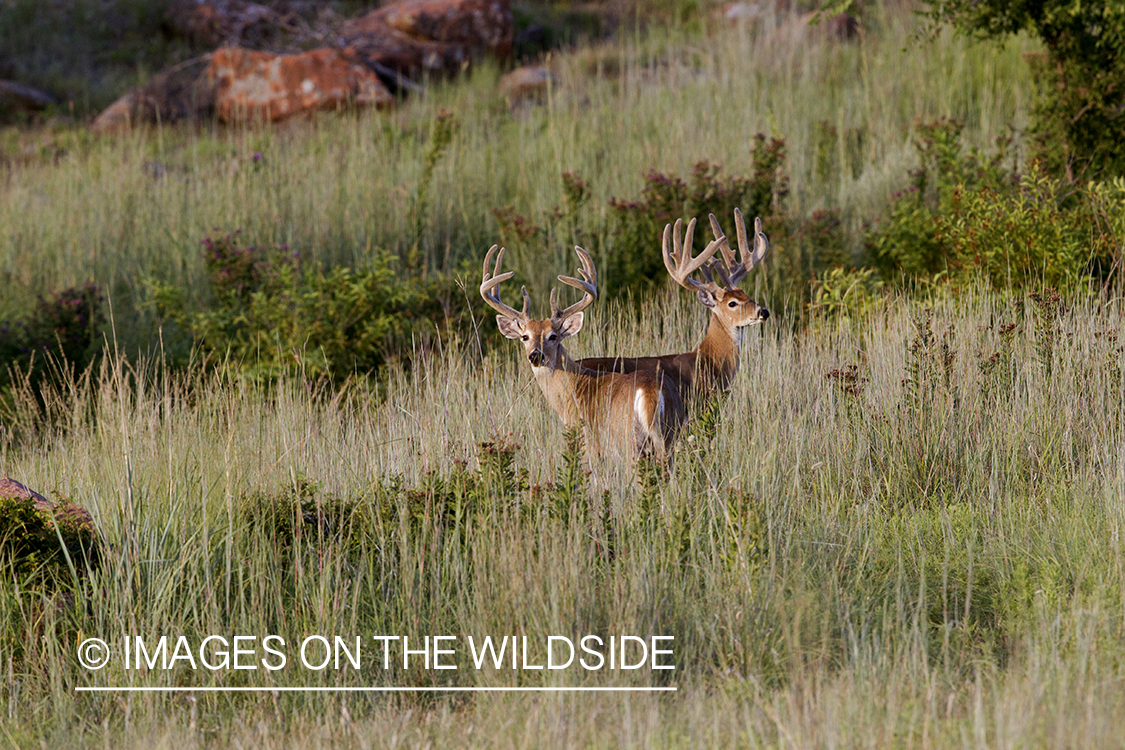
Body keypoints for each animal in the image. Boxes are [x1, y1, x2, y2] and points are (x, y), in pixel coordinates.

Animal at [481, 244, 684, 463]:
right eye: (525, 337)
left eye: (553, 336)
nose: (535, 355)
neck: (573, 388)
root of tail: (649, 390)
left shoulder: (589, 443)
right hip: (669, 435)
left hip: (628, 438)